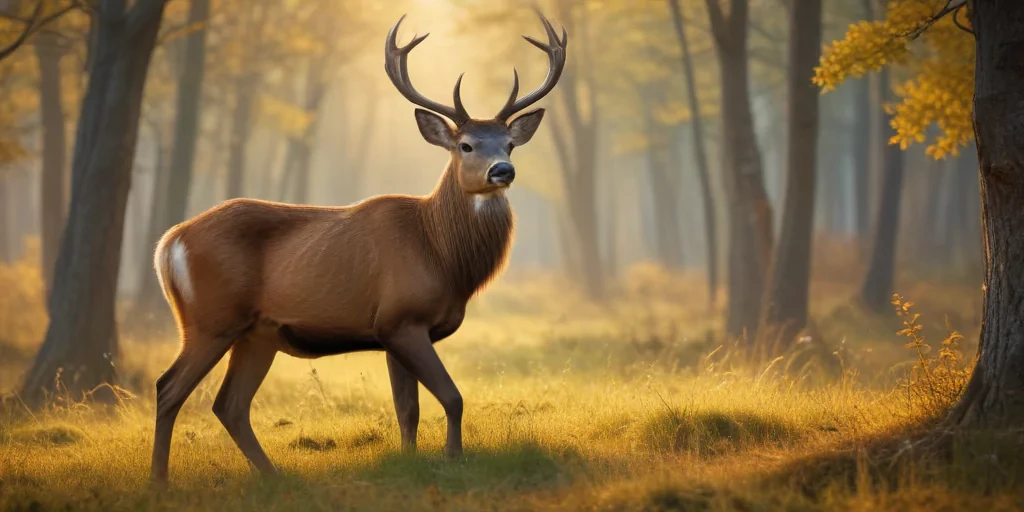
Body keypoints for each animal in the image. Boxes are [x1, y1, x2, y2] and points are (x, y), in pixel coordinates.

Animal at [149, 12, 567, 482]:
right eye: (466, 145)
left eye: (509, 143)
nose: (503, 170)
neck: (440, 253)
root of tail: (169, 242)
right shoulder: (402, 318)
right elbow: (452, 397)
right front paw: (453, 459)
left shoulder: (394, 330)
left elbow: (408, 409)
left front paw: (410, 461)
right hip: (210, 319)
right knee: (168, 388)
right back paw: (160, 480)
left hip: (258, 333)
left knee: (230, 404)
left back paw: (274, 475)